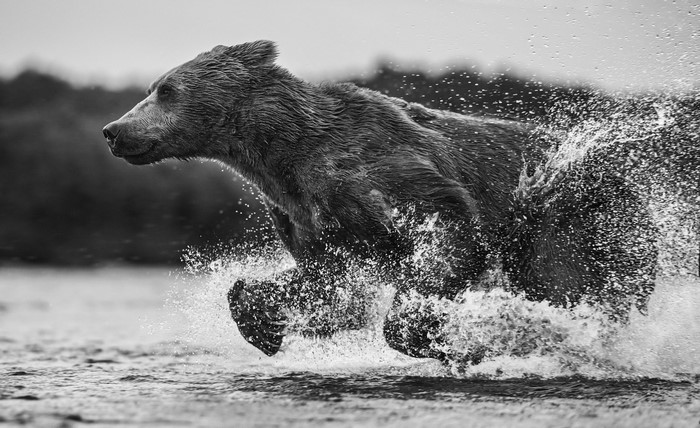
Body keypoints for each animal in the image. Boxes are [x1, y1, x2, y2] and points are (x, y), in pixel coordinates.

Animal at [102, 41, 657, 363]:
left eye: (166, 89)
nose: (114, 130)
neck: (281, 152)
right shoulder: (304, 212)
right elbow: (327, 286)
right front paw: (263, 322)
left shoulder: (376, 169)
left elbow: (449, 230)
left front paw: (443, 334)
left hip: (570, 215)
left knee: (567, 281)